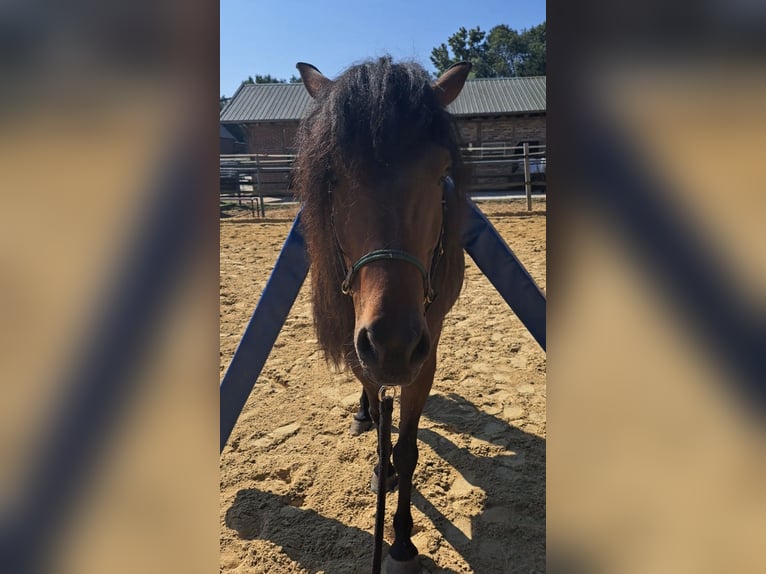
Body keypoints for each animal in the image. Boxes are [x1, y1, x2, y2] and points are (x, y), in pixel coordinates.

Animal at [294, 56, 471, 573]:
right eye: (332, 175)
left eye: (441, 172)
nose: (392, 344)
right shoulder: (361, 347)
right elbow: (377, 408)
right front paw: (380, 464)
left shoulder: (424, 352)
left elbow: (408, 448)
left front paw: (403, 541)